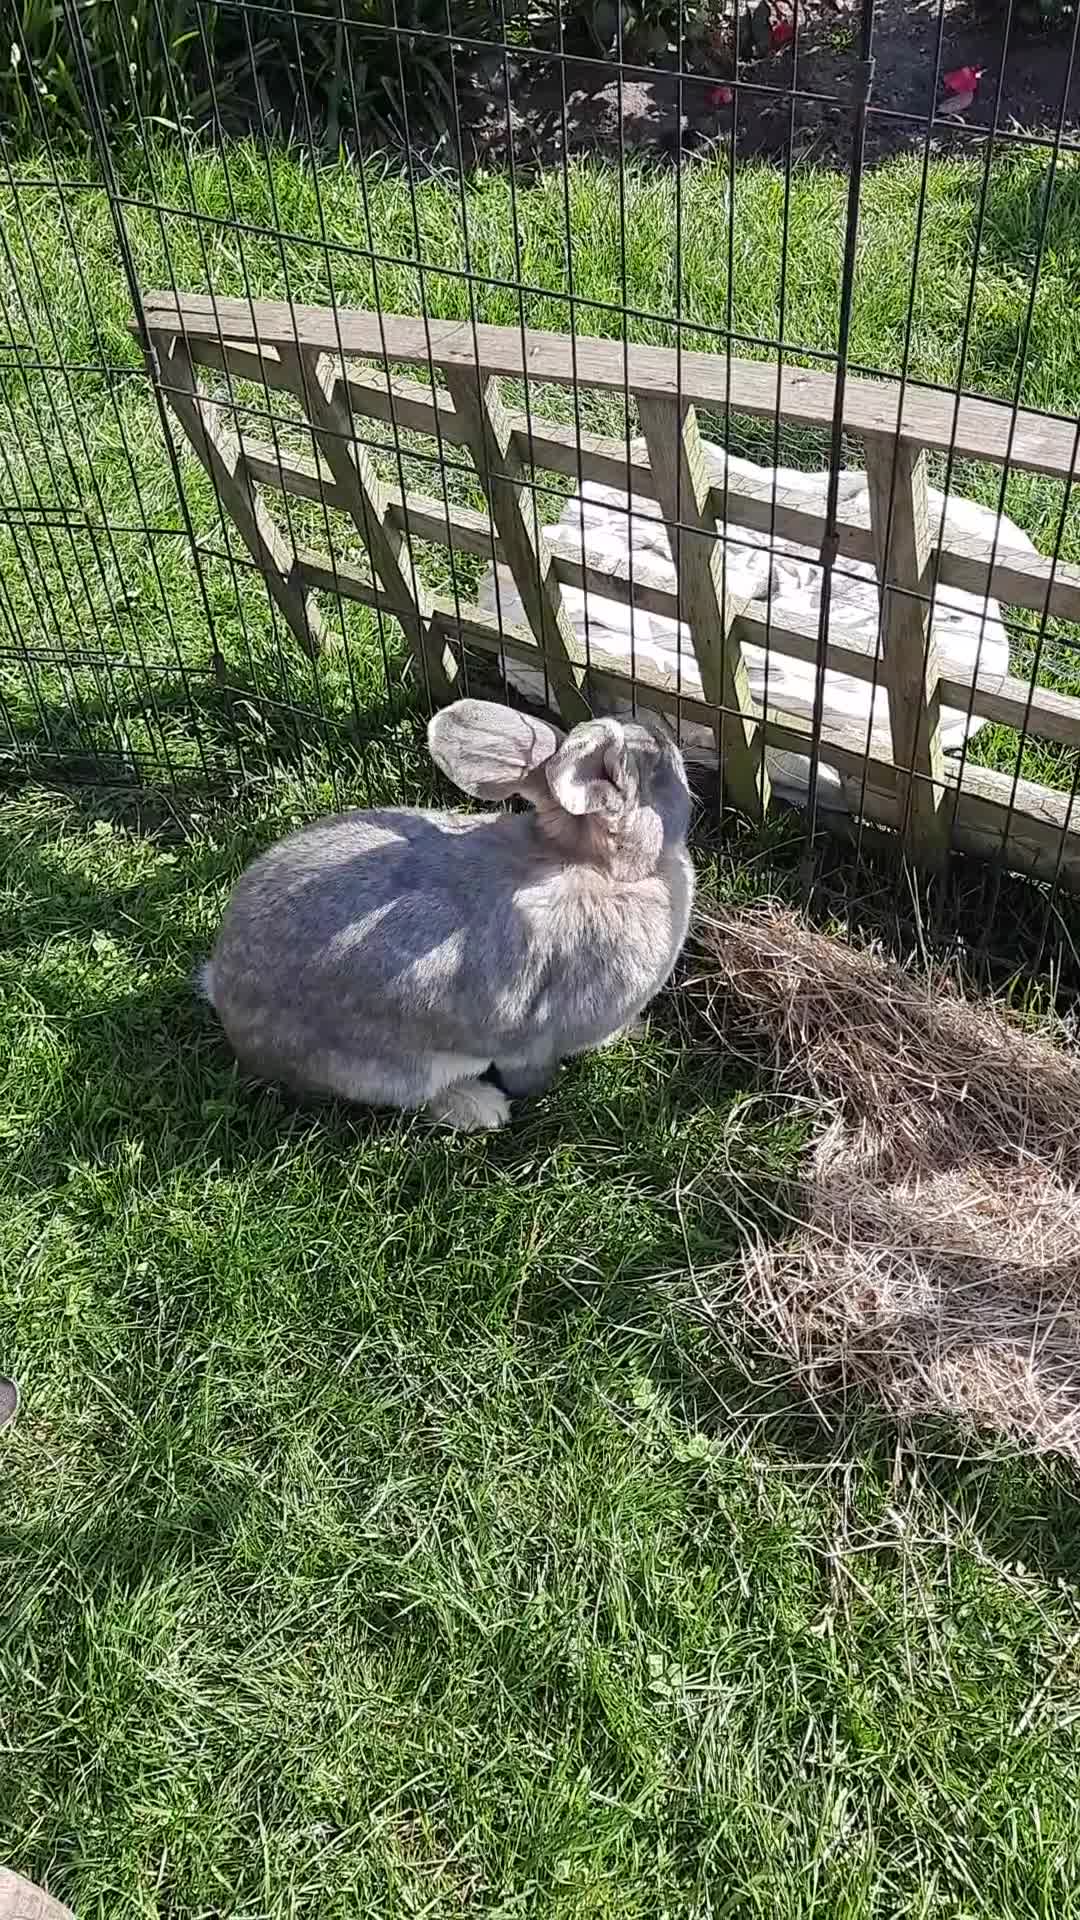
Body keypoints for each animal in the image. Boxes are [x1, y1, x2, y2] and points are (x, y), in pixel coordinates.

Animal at [199, 699, 693, 1132]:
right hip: (396, 1067)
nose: (661, 727)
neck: (600, 868)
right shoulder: (535, 1041)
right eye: (657, 766)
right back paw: (480, 1107)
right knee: (416, 1097)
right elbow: (529, 1066)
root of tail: (224, 993)